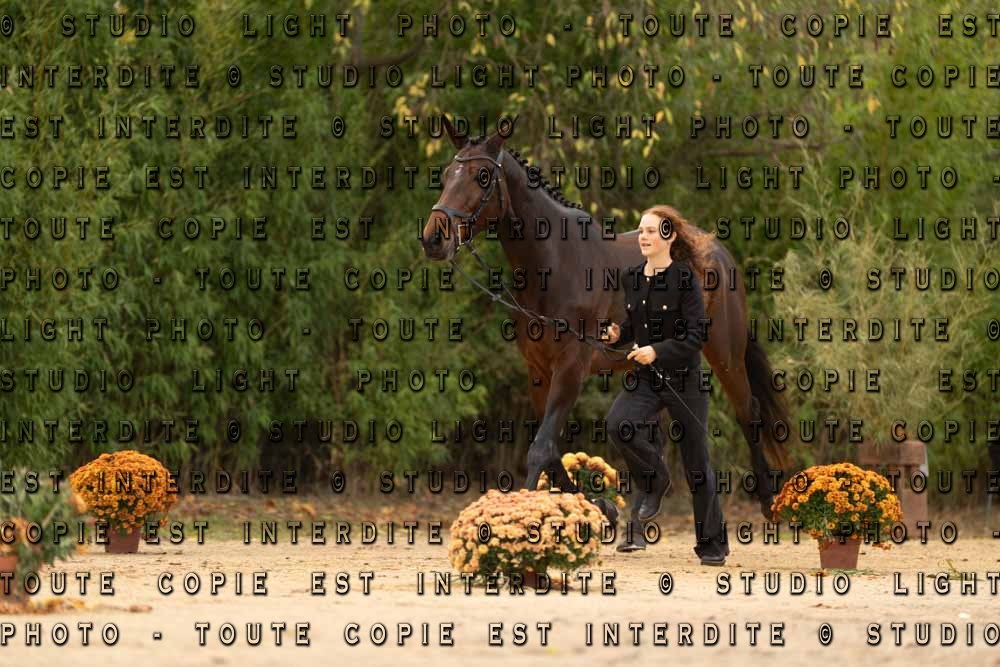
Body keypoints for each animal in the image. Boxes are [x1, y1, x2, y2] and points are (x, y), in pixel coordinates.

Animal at [420, 117, 792, 526]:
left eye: (482, 176)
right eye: (446, 174)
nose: (433, 239)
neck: (554, 263)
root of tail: (717, 250)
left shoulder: (571, 366)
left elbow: (540, 448)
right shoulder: (539, 371)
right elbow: (552, 451)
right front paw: (600, 506)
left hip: (725, 352)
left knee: (747, 411)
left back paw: (768, 501)